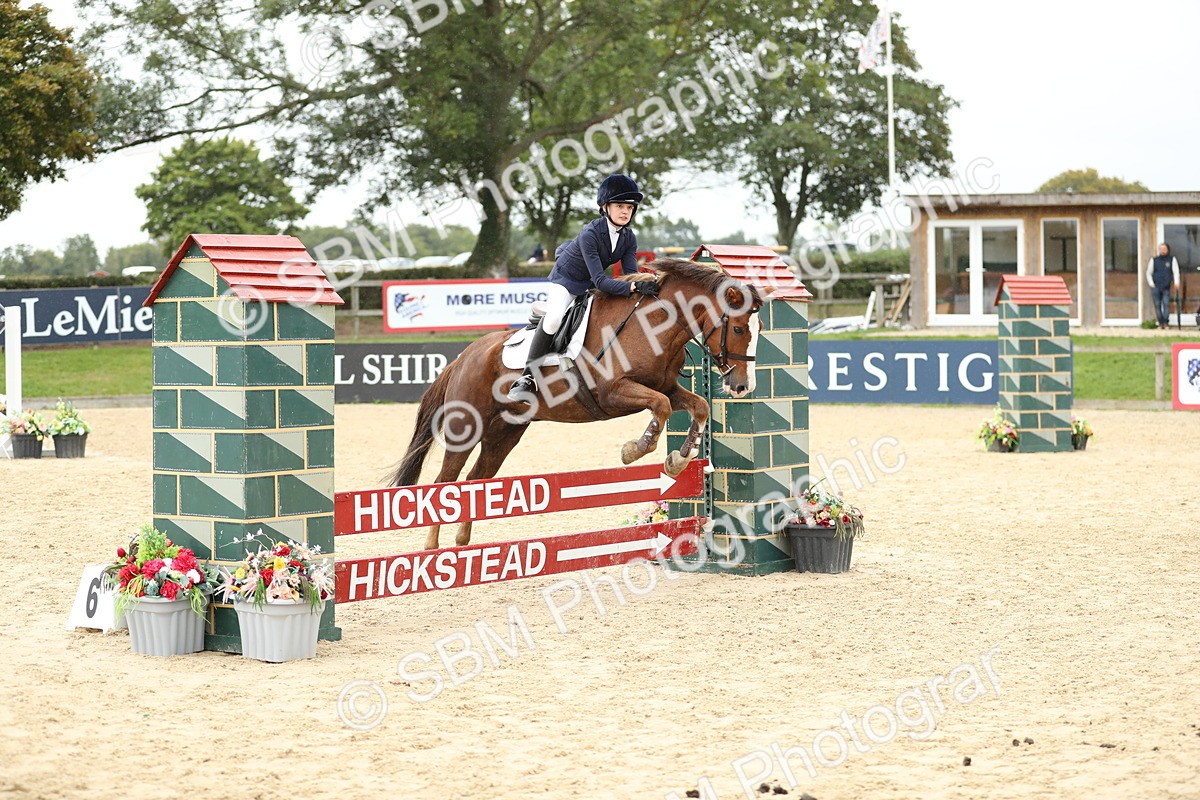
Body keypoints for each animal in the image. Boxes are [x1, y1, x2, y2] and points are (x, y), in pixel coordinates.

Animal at [388, 258, 766, 549]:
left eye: (759, 327)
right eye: (738, 328)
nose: (742, 386)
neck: (656, 325)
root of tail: (464, 356)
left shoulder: (668, 388)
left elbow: (698, 406)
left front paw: (678, 459)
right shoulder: (614, 392)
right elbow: (659, 407)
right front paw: (634, 450)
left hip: (505, 433)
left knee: (477, 477)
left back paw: (463, 542)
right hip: (465, 426)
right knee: (445, 480)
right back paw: (432, 546)